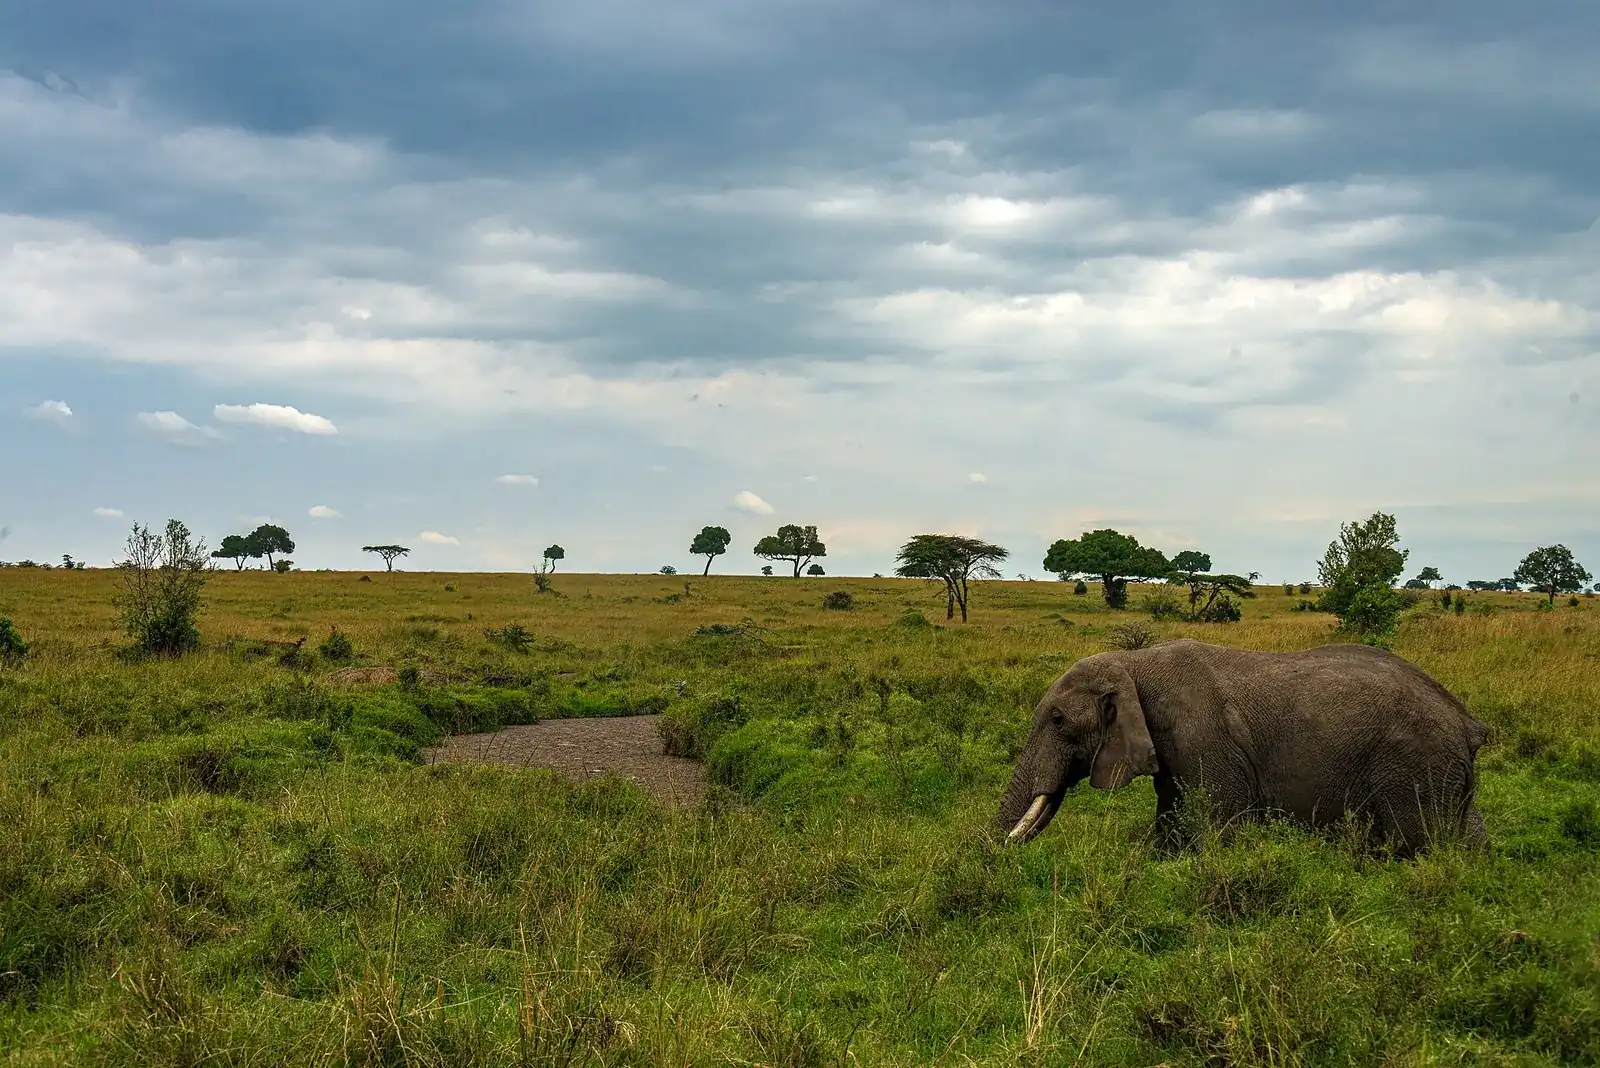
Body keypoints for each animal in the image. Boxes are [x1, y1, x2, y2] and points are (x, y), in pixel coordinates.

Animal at [996, 639, 1489, 855]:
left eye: (1058, 721)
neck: (1135, 663)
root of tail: (1467, 722)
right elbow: (1170, 822)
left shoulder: (1205, 740)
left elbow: (1220, 829)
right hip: (1445, 773)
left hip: (1415, 768)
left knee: (1416, 845)